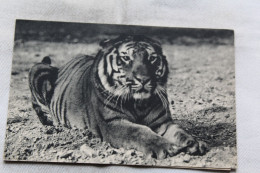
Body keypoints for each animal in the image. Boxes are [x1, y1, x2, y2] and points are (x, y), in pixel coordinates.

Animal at [29, 35, 207, 159]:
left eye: (152, 58)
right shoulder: (112, 123)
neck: (139, 103)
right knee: (37, 107)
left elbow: (179, 131)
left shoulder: (162, 122)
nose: (143, 79)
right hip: (39, 71)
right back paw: (52, 124)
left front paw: (194, 143)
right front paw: (165, 147)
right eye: (126, 58)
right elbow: (139, 131)